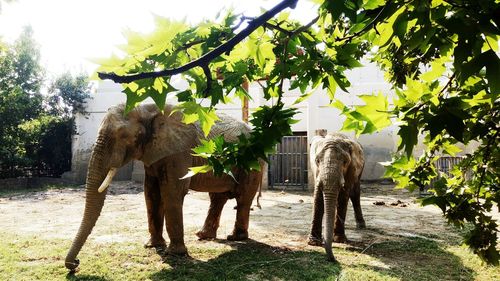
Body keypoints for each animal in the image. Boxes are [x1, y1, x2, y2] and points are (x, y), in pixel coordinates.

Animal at [64, 102, 264, 270]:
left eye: (122, 135)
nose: (75, 264)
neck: (148, 109)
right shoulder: (153, 152)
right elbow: (151, 192)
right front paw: (152, 245)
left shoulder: (179, 150)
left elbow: (172, 191)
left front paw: (174, 254)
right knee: (217, 198)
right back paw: (203, 236)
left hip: (252, 162)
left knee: (243, 198)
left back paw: (236, 237)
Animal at [306, 132, 366, 262]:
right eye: (317, 161)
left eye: (345, 162)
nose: (333, 259)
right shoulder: (317, 172)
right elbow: (318, 197)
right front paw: (313, 243)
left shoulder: (351, 169)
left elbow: (343, 197)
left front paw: (339, 240)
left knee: (355, 194)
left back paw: (361, 226)